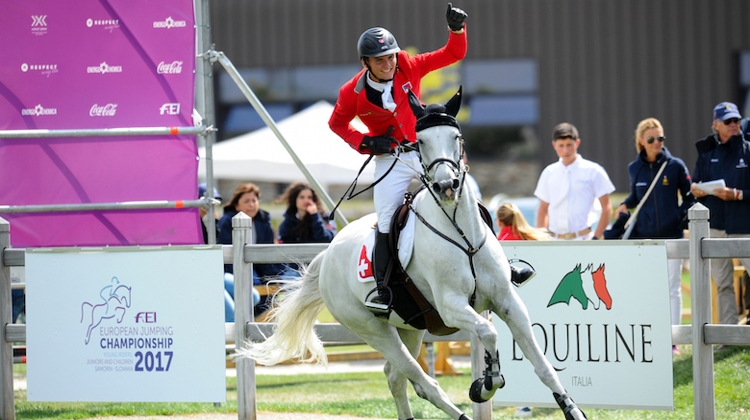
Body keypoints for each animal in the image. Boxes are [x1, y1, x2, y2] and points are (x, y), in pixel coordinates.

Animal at [238, 88, 592, 420]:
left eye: (456, 137)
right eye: (420, 142)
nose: (447, 186)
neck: (461, 233)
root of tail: (328, 256)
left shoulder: (508, 302)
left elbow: (542, 363)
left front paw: (572, 410)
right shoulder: (452, 306)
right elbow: (488, 333)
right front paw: (485, 384)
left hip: (411, 326)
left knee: (395, 377)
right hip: (375, 330)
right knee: (421, 380)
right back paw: (461, 411)